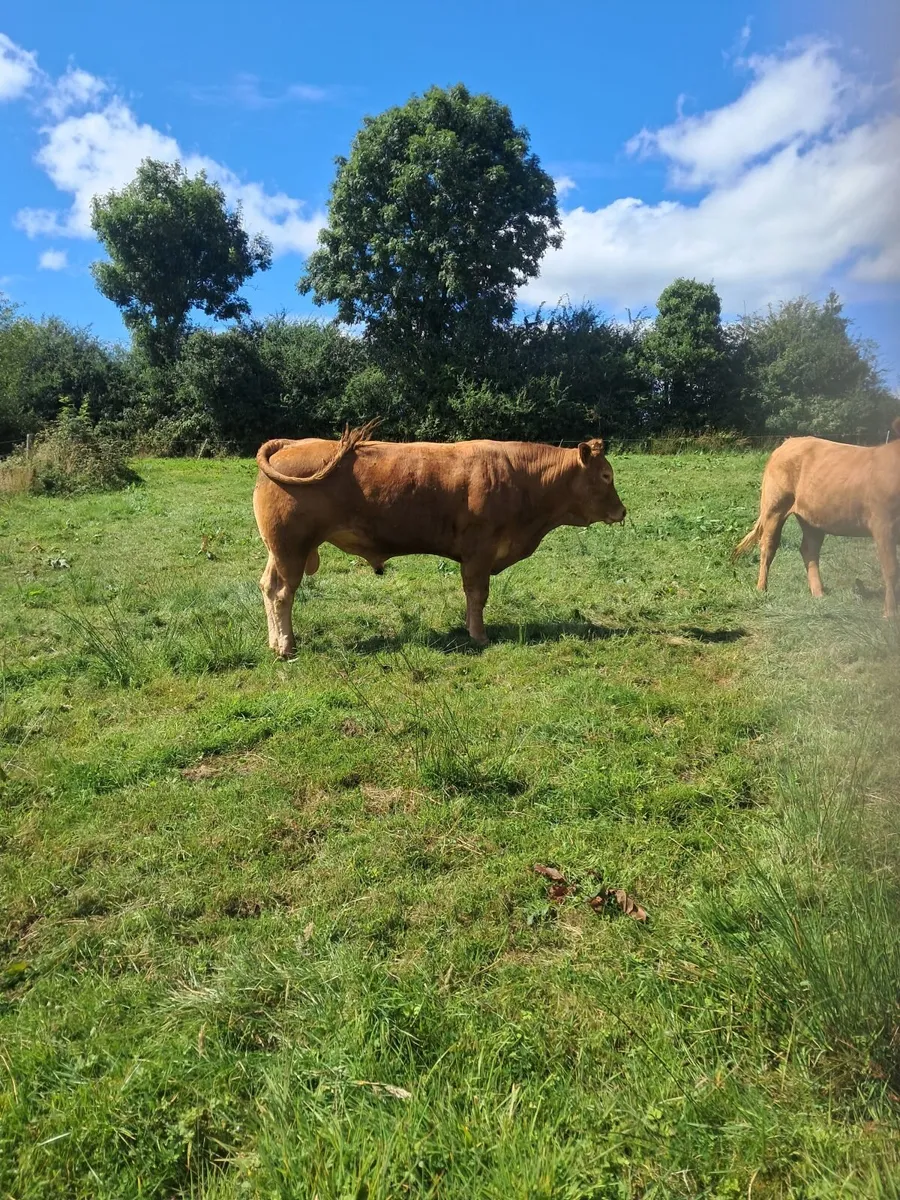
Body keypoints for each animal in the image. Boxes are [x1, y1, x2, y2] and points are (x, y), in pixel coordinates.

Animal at [253, 422, 627, 658]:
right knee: (283, 594)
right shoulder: (480, 551)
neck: (522, 479)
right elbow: (477, 595)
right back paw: (286, 646)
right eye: (606, 475)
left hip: (279, 551)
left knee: (269, 588)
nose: (622, 511)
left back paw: (273, 642)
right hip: (292, 549)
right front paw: (479, 636)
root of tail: (293, 443)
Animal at [733, 417, 900, 618]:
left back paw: (818, 592)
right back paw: (761, 588)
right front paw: (890, 614)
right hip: (774, 506)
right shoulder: (883, 524)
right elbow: (891, 569)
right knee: (768, 546)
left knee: (809, 549)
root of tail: (790, 441)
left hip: (812, 517)